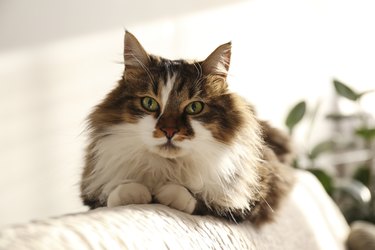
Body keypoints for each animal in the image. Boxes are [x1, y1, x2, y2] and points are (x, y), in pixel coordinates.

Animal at [81, 30, 296, 225]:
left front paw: (166, 193)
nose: (169, 131)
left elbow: (204, 202)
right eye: (149, 103)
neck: (167, 167)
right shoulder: (92, 189)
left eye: (194, 107)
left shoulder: (256, 195)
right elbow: (112, 194)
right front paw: (133, 193)